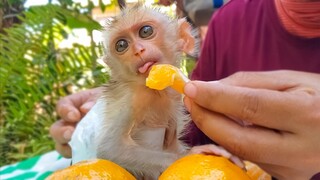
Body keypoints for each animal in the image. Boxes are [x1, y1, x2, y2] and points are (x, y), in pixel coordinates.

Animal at [96, 3, 241, 179]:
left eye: (146, 31)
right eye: (122, 45)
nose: (137, 50)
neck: (156, 91)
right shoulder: (136, 96)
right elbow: (111, 149)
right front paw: (189, 154)